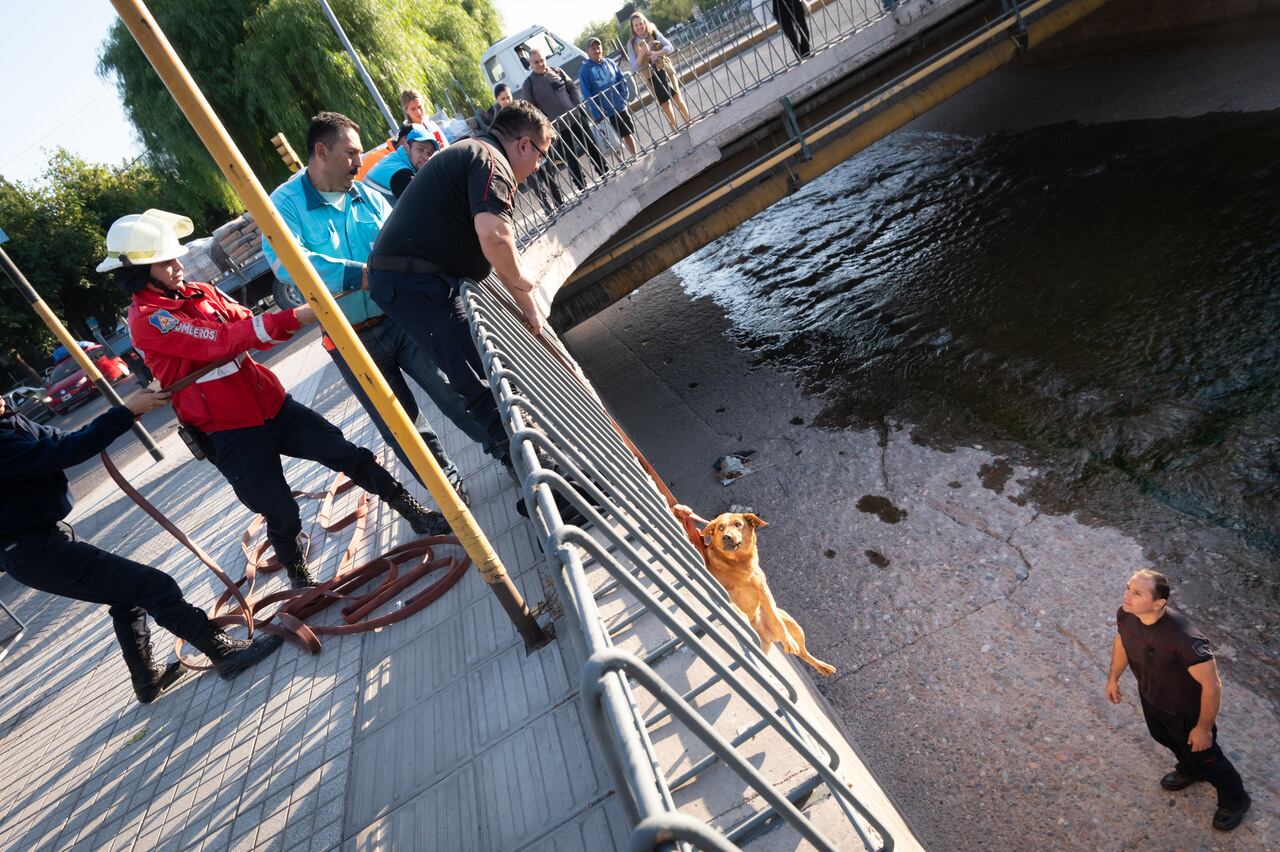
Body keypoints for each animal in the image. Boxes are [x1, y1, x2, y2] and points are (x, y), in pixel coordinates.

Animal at [696, 511, 834, 670]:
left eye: (738, 524)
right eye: (720, 528)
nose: (726, 537)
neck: (739, 564)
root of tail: (766, 637)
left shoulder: (764, 591)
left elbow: (776, 619)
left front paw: (788, 641)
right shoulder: (725, 591)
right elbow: (733, 605)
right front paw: (740, 616)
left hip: (792, 623)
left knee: (803, 652)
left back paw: (822, 666)